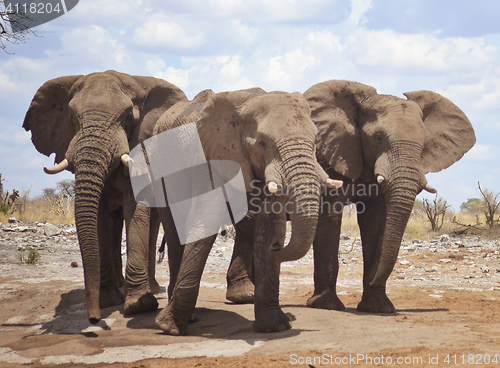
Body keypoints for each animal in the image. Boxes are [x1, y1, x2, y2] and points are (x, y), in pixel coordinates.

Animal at [22, 70, 188, 324]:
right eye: (72, 117)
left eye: (128, 117)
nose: (93, 318)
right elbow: (99, 216)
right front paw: (109, 302)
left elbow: (135, 208)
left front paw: (139, 306)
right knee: (114, 222)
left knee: (149, 222)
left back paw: (150, 288)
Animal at [143, 87, 342, 334]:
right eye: (262, 143)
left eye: (315, 142)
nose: (277, 248)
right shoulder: (213, 157)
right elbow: (205, 222)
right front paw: (169, 328)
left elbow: (270, 225)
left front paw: (274, 327)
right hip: (159, 169)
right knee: (173, 229)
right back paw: (188, 319)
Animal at [226, 80, 476, 314]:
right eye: (378, 138)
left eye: (424, 144)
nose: (375, 282)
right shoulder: (330, 157)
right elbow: (329, 219)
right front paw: (326, 305)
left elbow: (375, 223)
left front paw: (377, 308)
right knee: (248, 224)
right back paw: (244, 295)